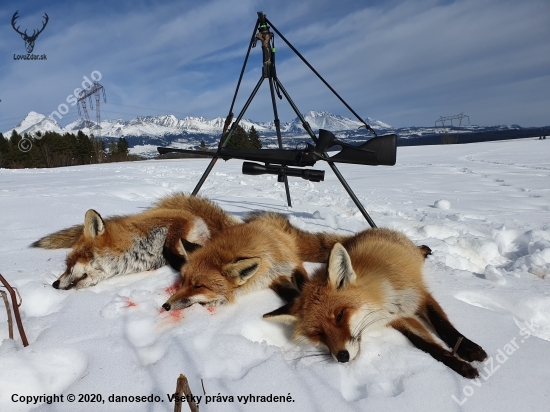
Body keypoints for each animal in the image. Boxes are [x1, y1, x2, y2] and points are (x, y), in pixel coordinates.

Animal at [266, 227, 490, 378]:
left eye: (340, 315)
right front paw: (459, 365)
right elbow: (426, 345)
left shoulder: (418, 294)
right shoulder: (397, 316)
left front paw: (469, 349)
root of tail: (368, 231)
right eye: (318, 334)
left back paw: (424, 249)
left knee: (418, 251)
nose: (342, 357)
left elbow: (444, 326)